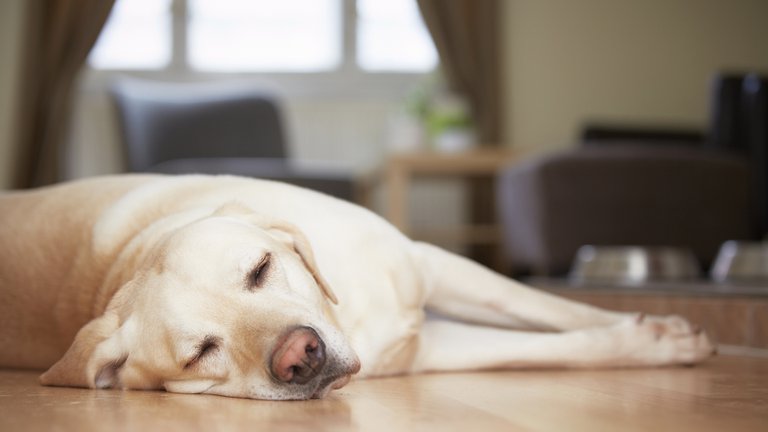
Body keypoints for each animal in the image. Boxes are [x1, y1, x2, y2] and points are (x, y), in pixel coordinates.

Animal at [0, 174, 712, 400]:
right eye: (201, 353)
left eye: (260, 268)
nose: (301, 357)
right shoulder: (428, 350)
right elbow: (545, 348)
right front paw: (651, 343)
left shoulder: (431, 264)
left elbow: (547, 307)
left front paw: (659, 332)